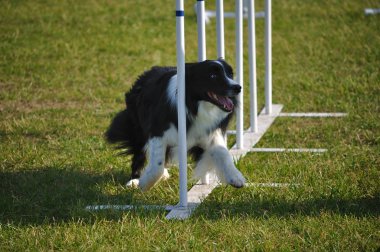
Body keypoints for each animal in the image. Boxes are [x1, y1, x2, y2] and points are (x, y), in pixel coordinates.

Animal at [105, 59, 246, 191]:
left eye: (230, 74)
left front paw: (236, 177)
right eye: (212, 76)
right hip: (137, 128)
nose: (238, 87)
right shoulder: (158, 131)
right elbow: (157, 165)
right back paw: (135, 179)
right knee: (139, 152)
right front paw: (145, 184)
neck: (194, 105)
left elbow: (223, 153)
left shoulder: (208, 132)